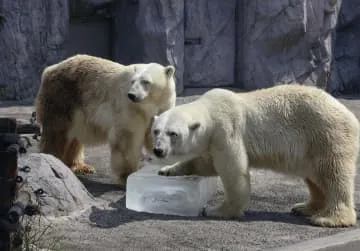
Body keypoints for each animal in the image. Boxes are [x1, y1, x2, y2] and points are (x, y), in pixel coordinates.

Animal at [150, 84, 358, 227]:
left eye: (173, 133)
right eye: (156, 131)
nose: (158, 150)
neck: (211, 109)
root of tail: (351, 116)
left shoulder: (226, 130)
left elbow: (233, 173)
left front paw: (216, 210)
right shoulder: (212, 140)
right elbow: (205, 163)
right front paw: (167, 170)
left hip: (326, 135)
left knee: (333, 174)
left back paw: (329, 218)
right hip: (312, 146)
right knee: (314, 178)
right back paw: (304, 207)